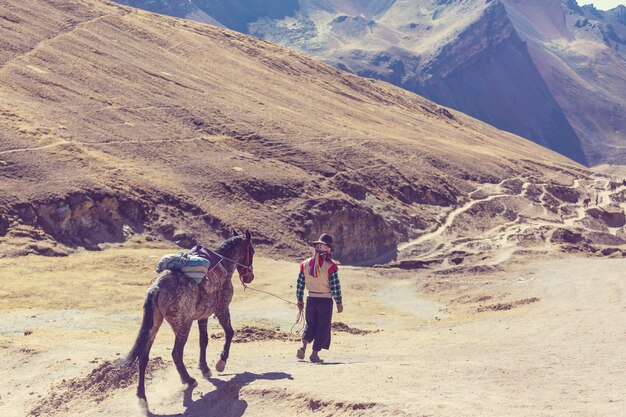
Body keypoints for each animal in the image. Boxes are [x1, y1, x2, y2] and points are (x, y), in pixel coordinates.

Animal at [122, 228, 254, 406]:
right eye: (252, 250)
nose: (250, 277)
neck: (224, 266)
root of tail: (157, 287)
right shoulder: (222, 309)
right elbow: (229, 332)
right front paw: (221, 363)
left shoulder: (203, 317)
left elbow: (203, 341)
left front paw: (205, 369)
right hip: (184, 324)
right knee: (176, 353)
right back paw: (189, 380)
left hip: (154, 326)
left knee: (143, 358)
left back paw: (142, 397)